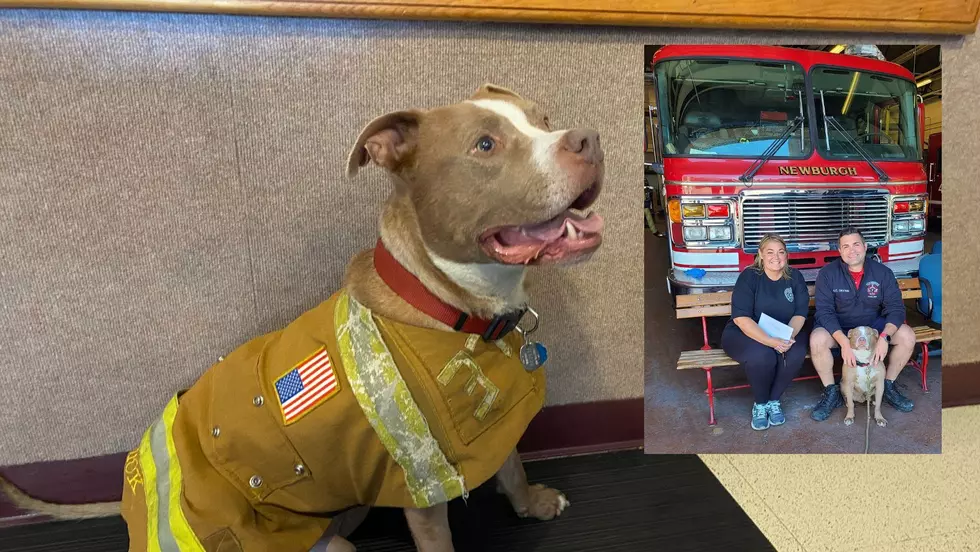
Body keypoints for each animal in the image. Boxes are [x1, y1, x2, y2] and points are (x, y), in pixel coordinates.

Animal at [0, 83, 604, 552]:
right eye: (485, 144)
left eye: (543, 119)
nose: (588, 139)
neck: (457, 306)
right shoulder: (421, 483)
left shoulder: (497, 423)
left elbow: (513, 464)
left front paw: (531, 502)